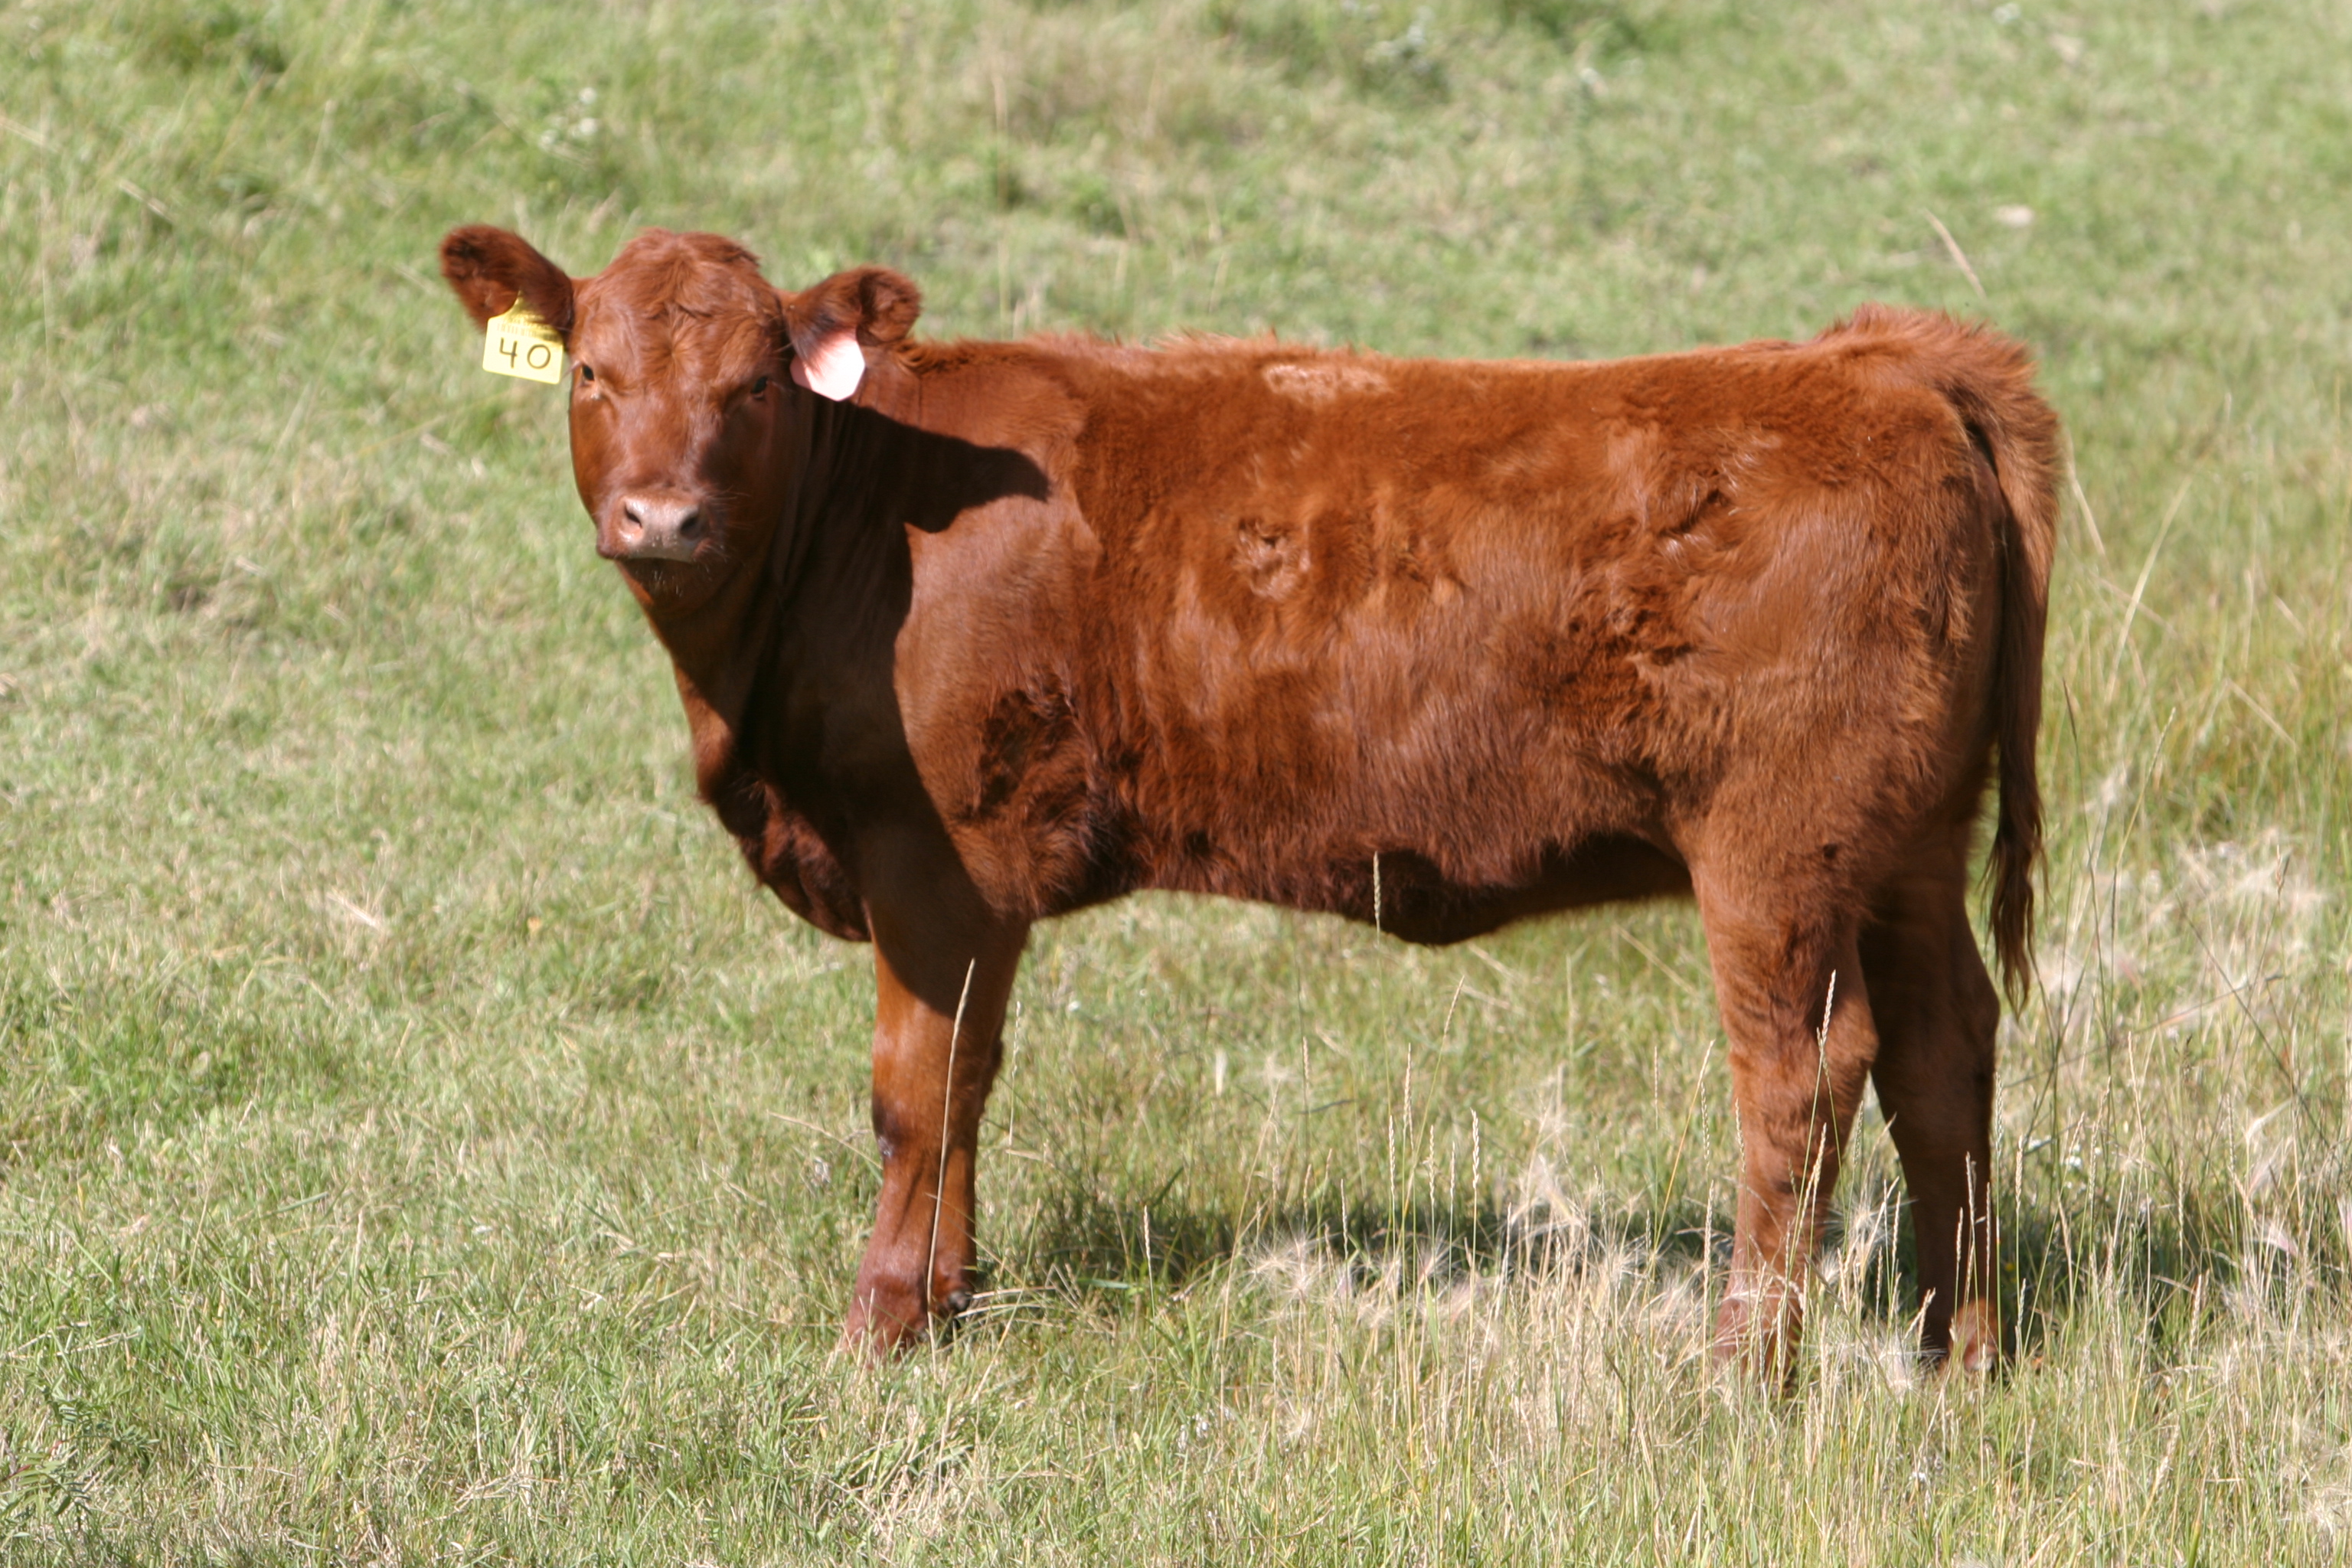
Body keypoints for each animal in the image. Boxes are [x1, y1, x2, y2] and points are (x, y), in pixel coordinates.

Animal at [440, 224, 2058, 1378]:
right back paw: (1955, 1349)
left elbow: (912, 1091)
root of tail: (1881, 361)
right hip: (1911, 845)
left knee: (1799, 1077)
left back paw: (1742, 1367)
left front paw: (881, 1321)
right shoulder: (972, 890)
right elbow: (969, 1078)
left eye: (757, 383)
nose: (661, 518)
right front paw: (951, 1297)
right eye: (589, 374)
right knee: (1943, 1056)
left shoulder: (931, 857)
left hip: (1778, 855)